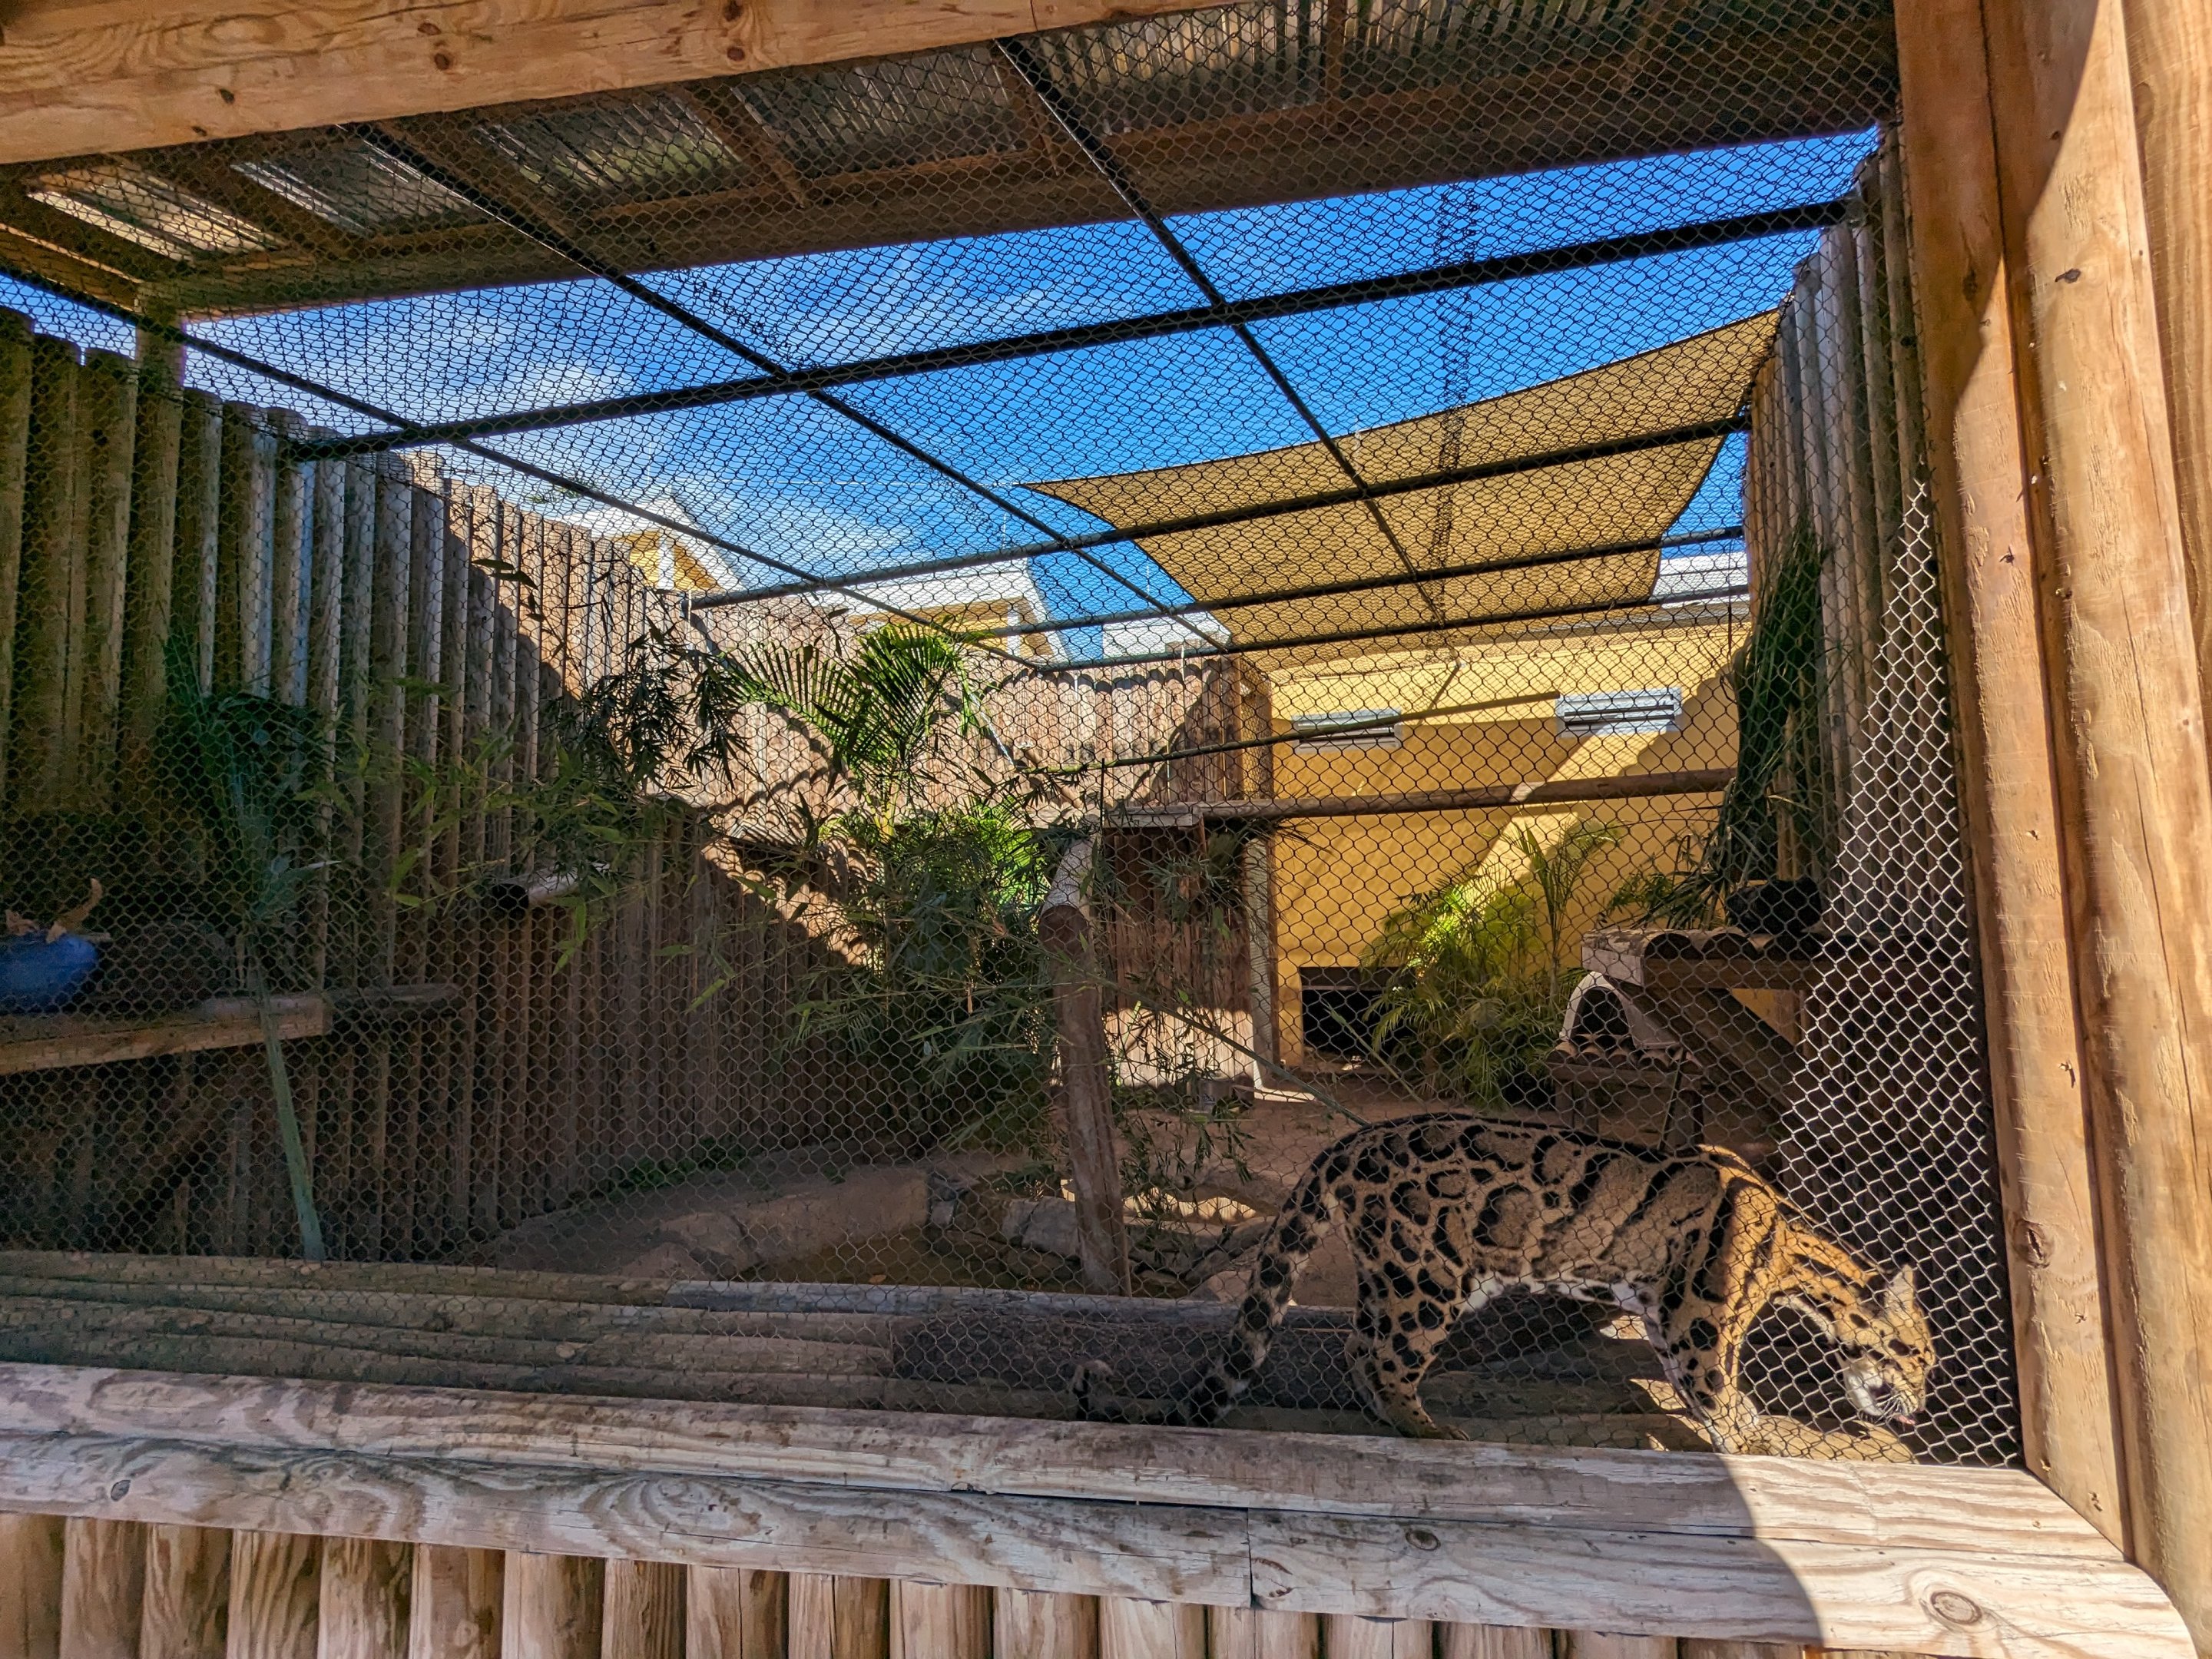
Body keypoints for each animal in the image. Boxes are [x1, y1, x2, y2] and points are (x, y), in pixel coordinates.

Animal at [1076, 1113, 1934, 1451]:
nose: (1923, 1405)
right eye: (1921, 1357)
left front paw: (1747, 1424)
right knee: (1382, 1359)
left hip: (1391, 1275)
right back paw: (1427, 1429)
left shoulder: (1664, 1313)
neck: (1793, 1251)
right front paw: (1751, 1438)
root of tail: (1348, 1144)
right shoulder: (1699, 1315)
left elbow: (1696, 1382)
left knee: (1356, 1351)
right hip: (1426, 1279)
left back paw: (1393, 1421)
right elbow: (1714, 1385)